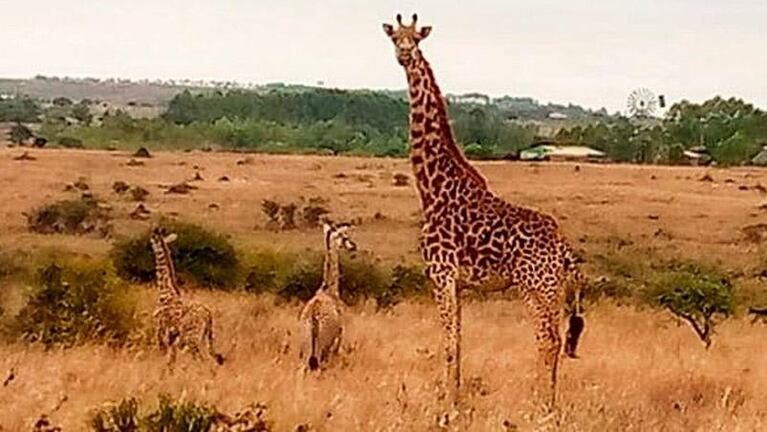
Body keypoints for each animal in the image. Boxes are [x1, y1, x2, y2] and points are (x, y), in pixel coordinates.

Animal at [148, 224, 224, 370]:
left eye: (153, 237)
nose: (149, 244)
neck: (166, 290)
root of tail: (208, 315)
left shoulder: (160, 331)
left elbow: (164, 358)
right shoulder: (172, 338)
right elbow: (171, 362)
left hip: (192, 338)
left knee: (202, 360)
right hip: (204, 337)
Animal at [302, 221, 358, 370]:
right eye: (344, 236)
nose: (354, 246)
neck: (329, 289)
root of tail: (314, 317)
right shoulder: (338, 339)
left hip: (306, 350)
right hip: (322, 347)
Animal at [380, 11, 584, 406]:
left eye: (416, 38)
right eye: (395, 37)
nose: (404, 54)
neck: (433, 189)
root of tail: (563, 248)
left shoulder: (440, 273)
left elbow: (449, 343)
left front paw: (447, 405)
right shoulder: (456, 282)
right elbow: (458, 341)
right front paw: (455, 398)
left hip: (535, 286)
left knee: (547, 340)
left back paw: (541, 406)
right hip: (554, 290)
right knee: (555, 340)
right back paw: (549, 402)